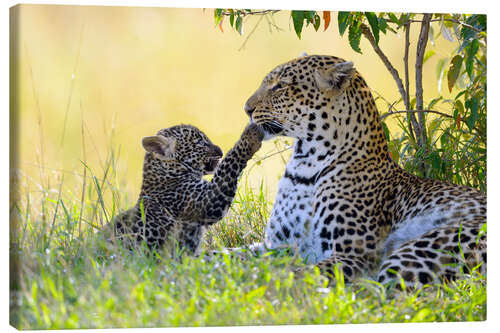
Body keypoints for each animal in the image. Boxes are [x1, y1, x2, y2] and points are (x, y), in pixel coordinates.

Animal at [244, 53, 486, 286]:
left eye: (280, 86)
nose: (246, 109)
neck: (304, 165)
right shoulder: (275, 244)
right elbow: (239, 254)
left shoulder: (351, 255)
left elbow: (298, 275)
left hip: (420, 250)